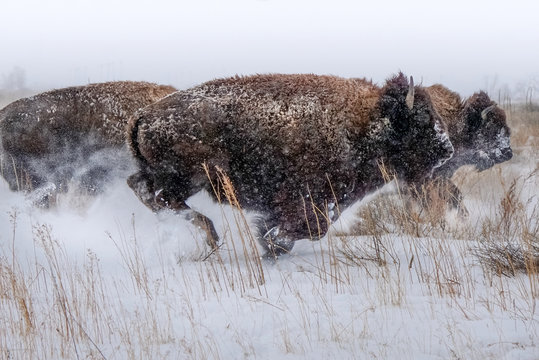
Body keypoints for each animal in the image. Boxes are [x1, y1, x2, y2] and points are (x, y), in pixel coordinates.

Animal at [127, 73, 456, 258]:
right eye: (422, 118)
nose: (447, 150)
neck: (365, 123)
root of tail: (142, 115)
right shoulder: (309, 197)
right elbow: (311, 227)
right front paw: (272, 242)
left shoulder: (327, 200)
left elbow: (312, 228)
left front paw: (270, 244)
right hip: (188, 177)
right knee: (159, 197)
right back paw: (210, 234)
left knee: (142, 188)